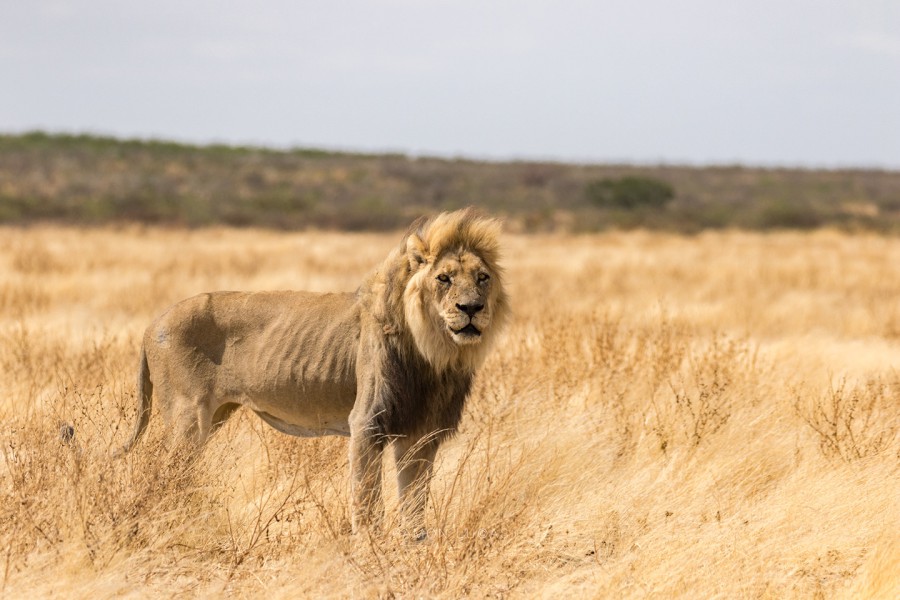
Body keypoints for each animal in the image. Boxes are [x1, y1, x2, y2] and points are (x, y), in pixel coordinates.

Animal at [120, 207, 510, 540]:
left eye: (482, 278)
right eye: (444, 278)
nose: (471, 308)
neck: (435, 354)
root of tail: (153, 323)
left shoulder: (421, 433)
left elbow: (414, 503)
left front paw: (413, 548)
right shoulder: (367, 423)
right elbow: (367, 502)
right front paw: (369, 554)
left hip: (214, 416)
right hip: (188, 417)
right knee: (161, 471)